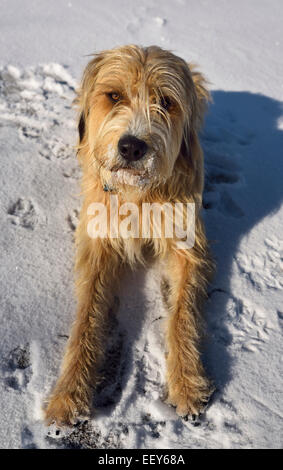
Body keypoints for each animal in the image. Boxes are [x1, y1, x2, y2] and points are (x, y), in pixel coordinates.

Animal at [44, 44, 214, 426]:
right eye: (114, 96)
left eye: (166, 101)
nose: (132, 147)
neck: (138, 193)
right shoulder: (98, 241)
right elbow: (87, 315)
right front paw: (69, 393)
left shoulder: (186, 244)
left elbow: (182, 313)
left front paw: (186, 382)